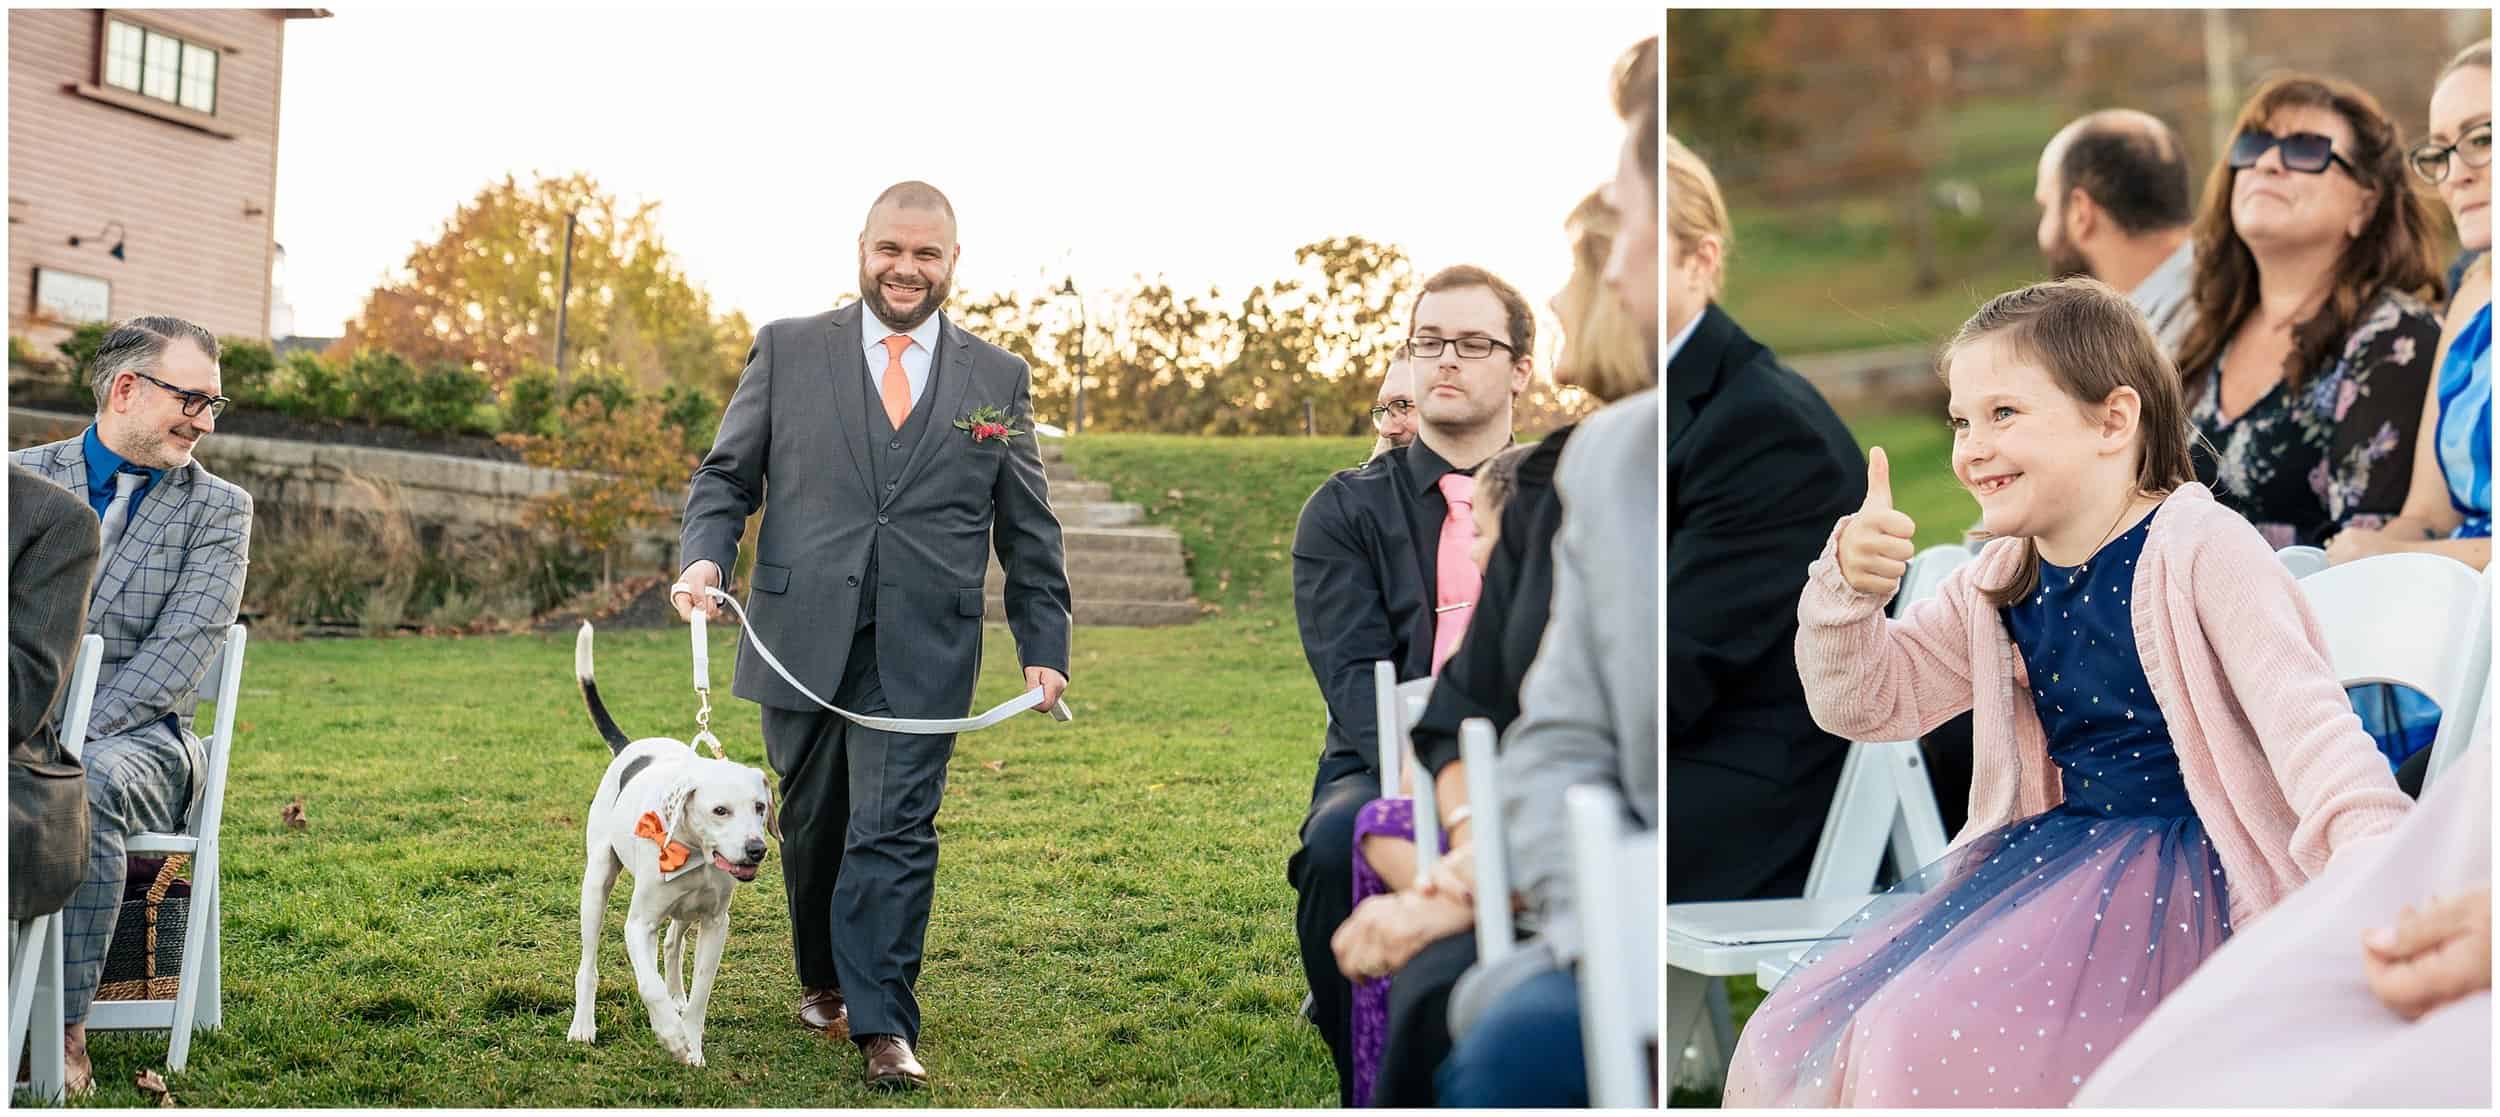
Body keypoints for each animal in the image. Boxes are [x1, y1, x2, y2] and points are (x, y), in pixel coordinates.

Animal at [570, 619, 780, 1069]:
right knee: (589, 962)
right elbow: (647, 984)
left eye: (760, 807)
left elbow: (701, 993)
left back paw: (676, 996)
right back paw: (583, 1025)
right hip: (596, 883)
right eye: (720, 811)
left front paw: (691, 1043)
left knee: (672, 943)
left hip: (686, 911)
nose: (757, 849)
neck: (697, 854)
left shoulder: (716, 924)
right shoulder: (638, 925)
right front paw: (669, 1034)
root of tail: (630, 746)